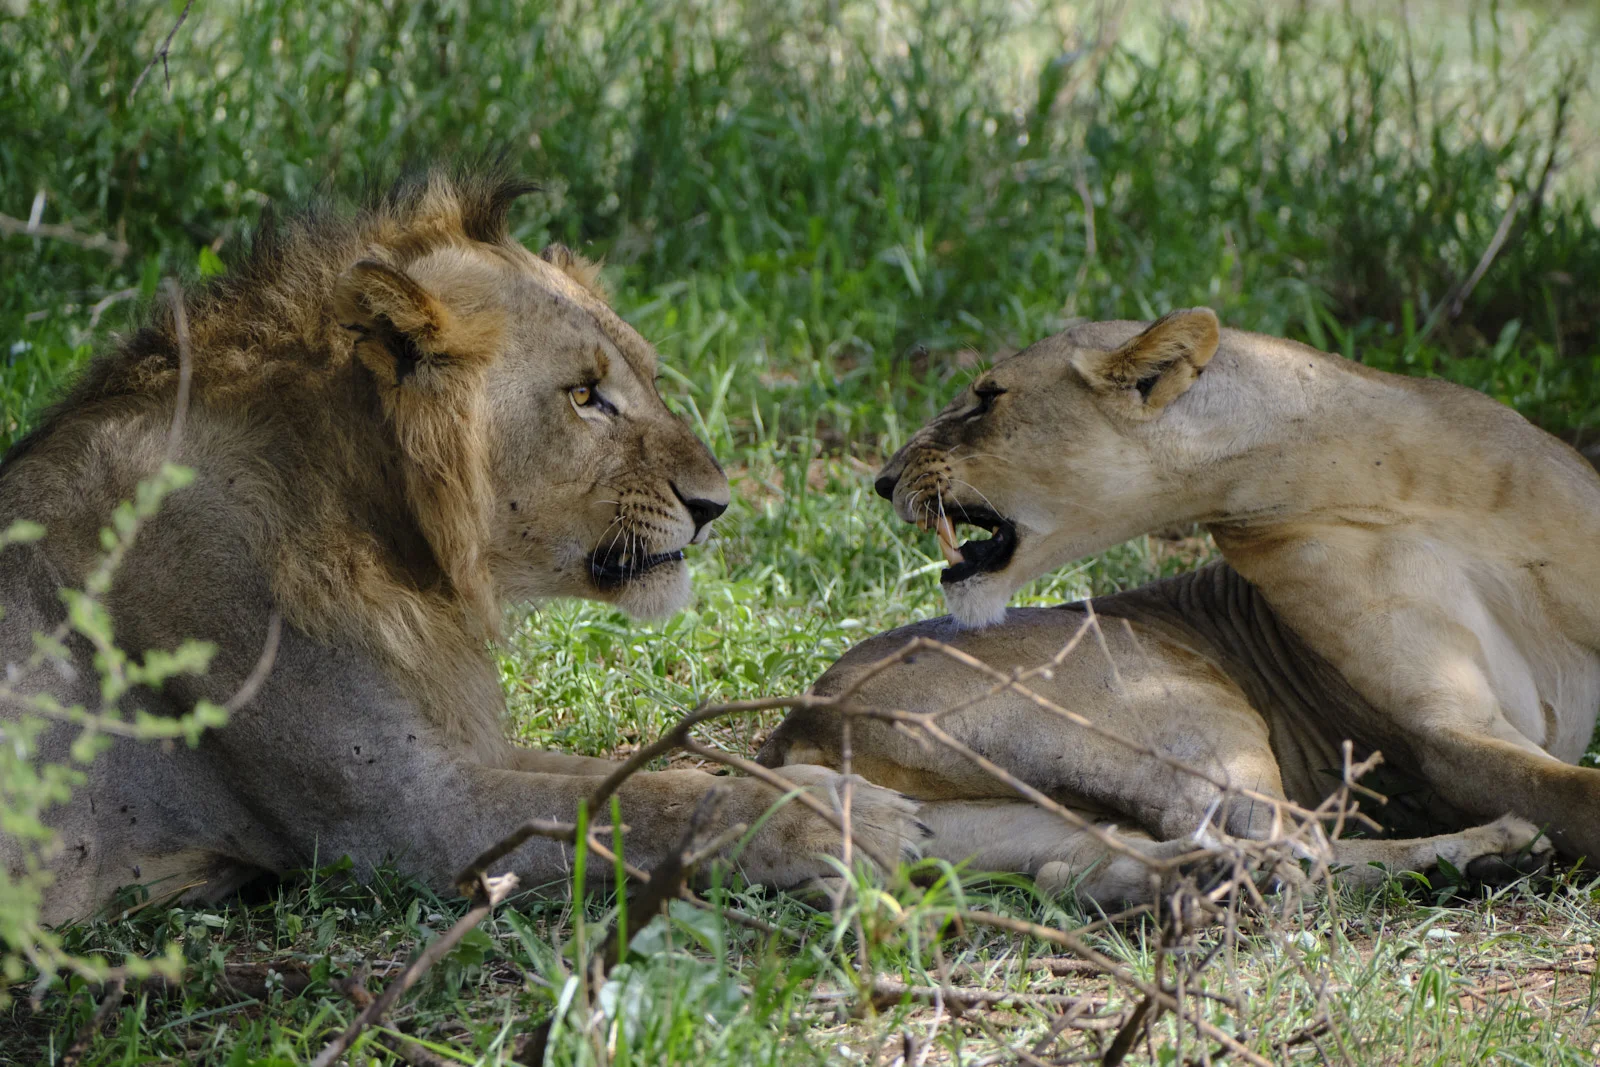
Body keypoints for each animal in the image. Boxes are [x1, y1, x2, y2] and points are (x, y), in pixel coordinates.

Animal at [0, 170, 918, 925]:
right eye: (585, 395)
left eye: (650, 379)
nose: (715, 505)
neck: (385, 535)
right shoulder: (404, 820)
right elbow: (646, 805)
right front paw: (844, 819)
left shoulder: (456, 745)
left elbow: (635, 775)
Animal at [759, 308, 1600, 905]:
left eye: (988, 397)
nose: (882, 479)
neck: (1383, 477)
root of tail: (801, 719)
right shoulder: (1441, 731)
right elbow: (1569, 789)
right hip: (1180, 704)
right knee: (1286, 855)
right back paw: (1486, 852)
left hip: (986, 823)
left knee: (1080, 869)